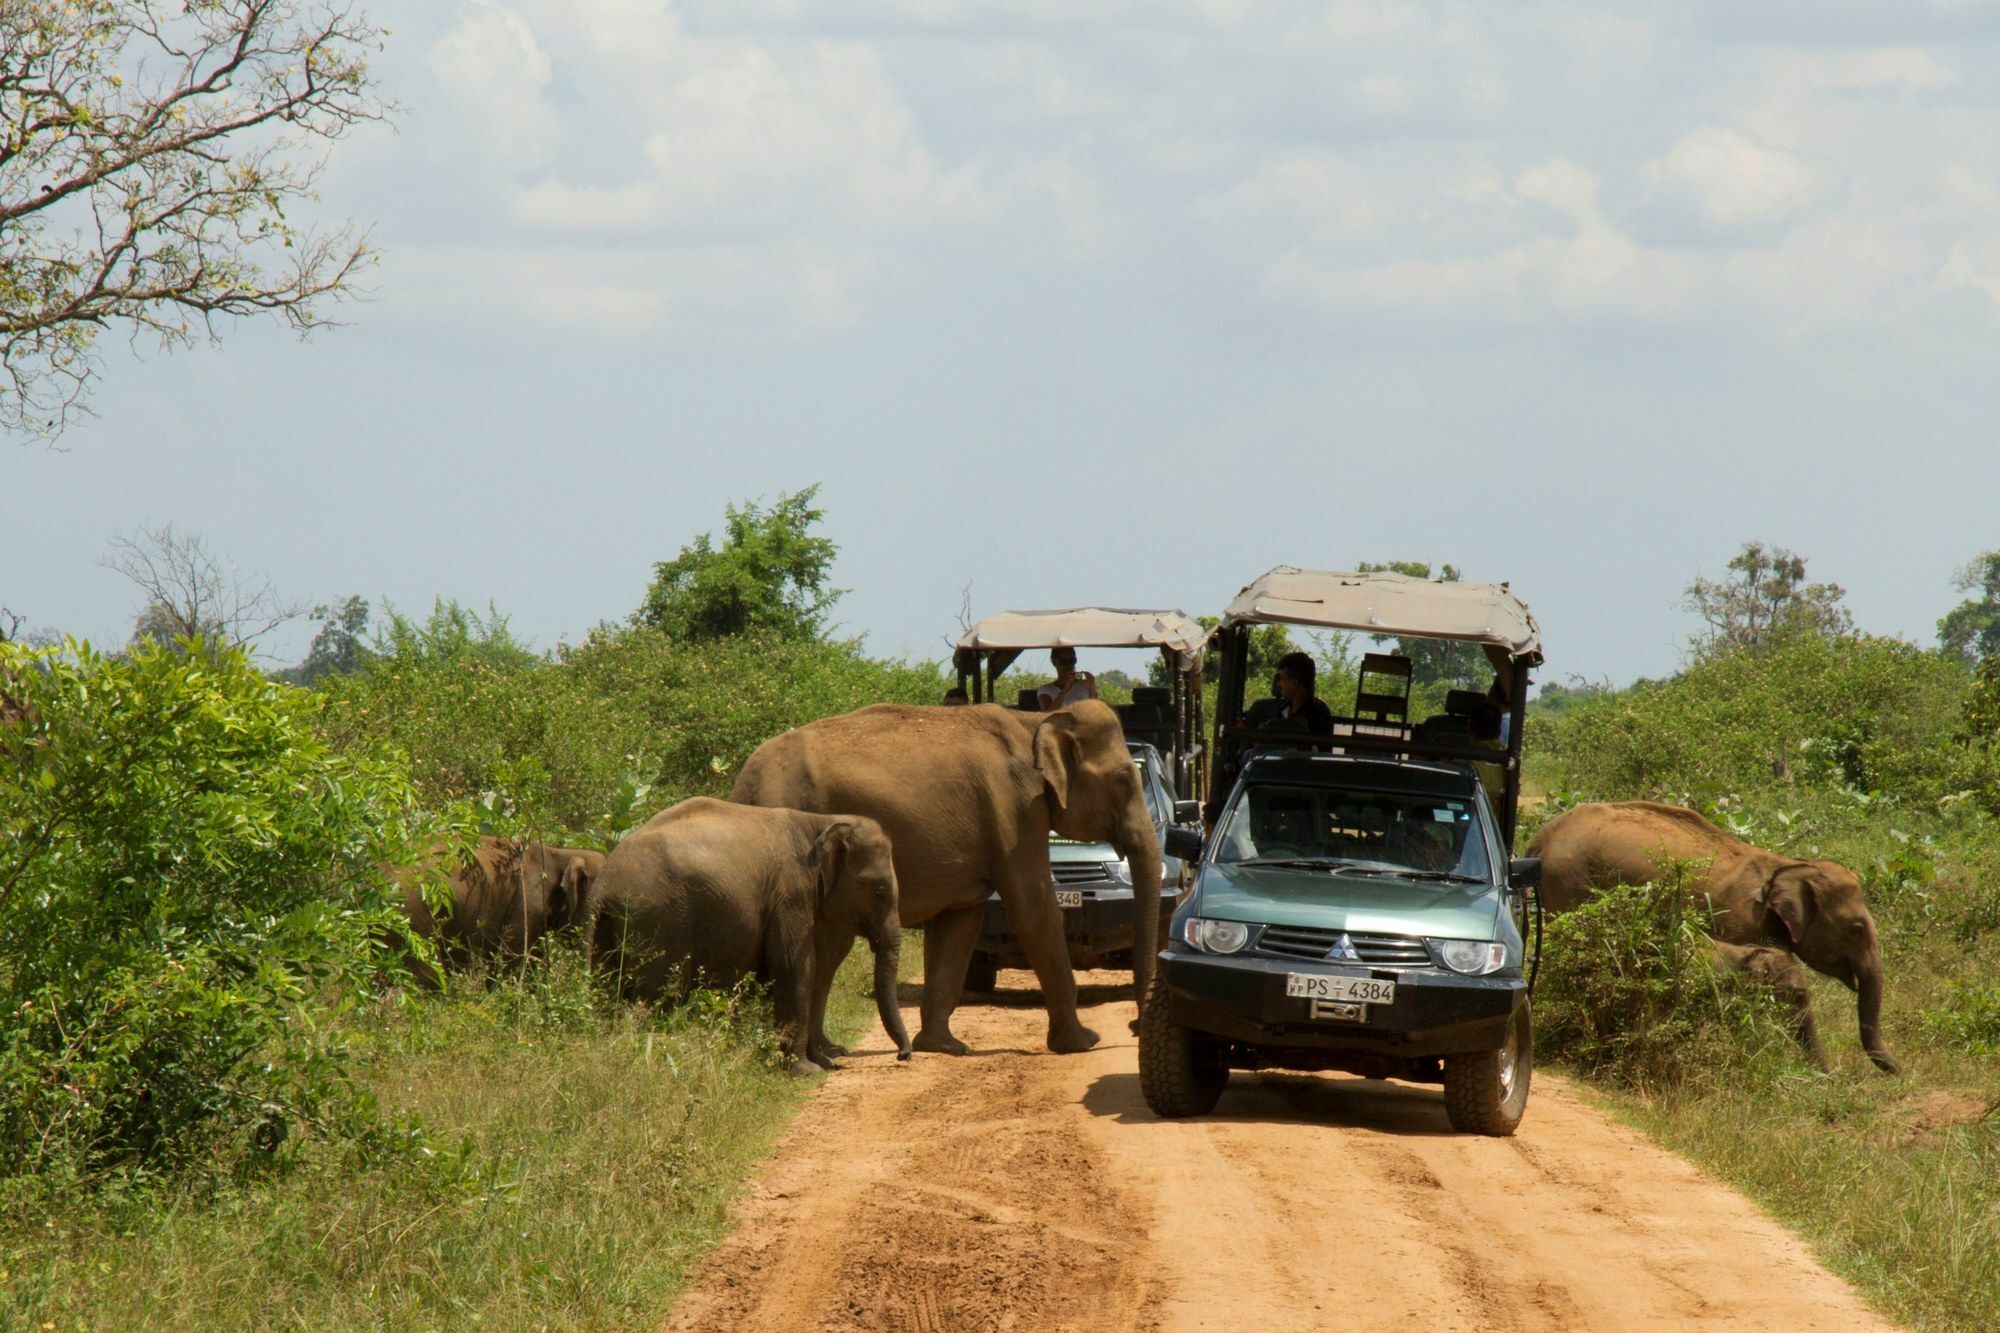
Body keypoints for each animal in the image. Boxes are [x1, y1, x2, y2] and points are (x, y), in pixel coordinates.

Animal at [584, 792, 916, 1072]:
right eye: (879, 890)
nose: (904, 1055)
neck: (819, 823)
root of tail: (602, 886)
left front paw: (825, 1061)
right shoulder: (790, 892)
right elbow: (794, 966)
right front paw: (807, 1070)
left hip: (613, 929)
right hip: (660, 921)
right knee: (662, 994)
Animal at [728, 696, 1168, 1056]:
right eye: (1124, 780)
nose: (1133, 1026)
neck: (1036, 721)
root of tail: (743, 785)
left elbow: (960, 922)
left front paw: (944, 1047)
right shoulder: (1016, 813)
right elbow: (1035, 911)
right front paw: (1082, 1043)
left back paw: (829, 1050)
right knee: (827, 943)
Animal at [1528, 800, 1904, 1072]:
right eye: (1857, 928)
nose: (1899, 1072)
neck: (1788, 865)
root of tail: (1540, 838)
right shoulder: (1737, 919)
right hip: (1568, 884)